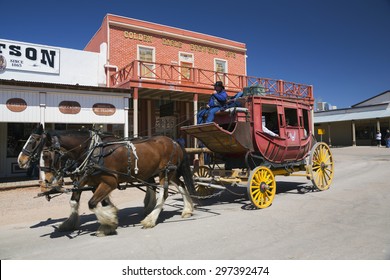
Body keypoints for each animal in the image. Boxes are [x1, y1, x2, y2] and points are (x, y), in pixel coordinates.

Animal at [17, 124, 197, 236]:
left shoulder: (109, 182)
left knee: (163, 194)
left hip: (166, 172)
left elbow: (92, 203)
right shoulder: (88, 181)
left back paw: (150, 219)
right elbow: (79, 202)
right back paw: (186, 209)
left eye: (46, 155)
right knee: (180, 186)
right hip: (166, 173)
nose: (20, 161)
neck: (92, 150)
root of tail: (174, 141)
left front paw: (108, 222)